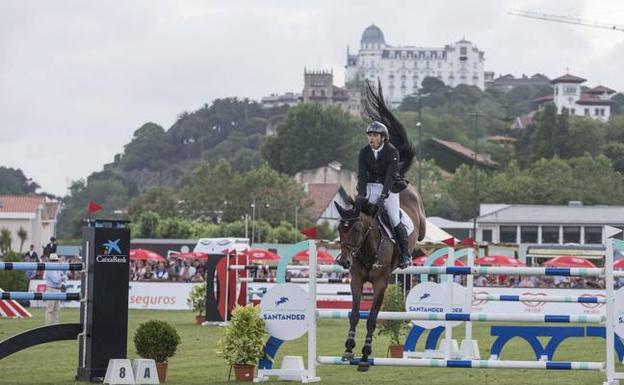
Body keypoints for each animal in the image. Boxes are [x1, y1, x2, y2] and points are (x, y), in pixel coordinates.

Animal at [334, 184, 426, 370]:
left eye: (356, 229)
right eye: (340, 229)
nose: (344, 262)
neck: (368, 248)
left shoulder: (380, 283)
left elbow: (371, 319)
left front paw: (365, 355)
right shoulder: (356, 281)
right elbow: (355, 315)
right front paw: (348, 348)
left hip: (421, 226)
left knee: (420, 233)